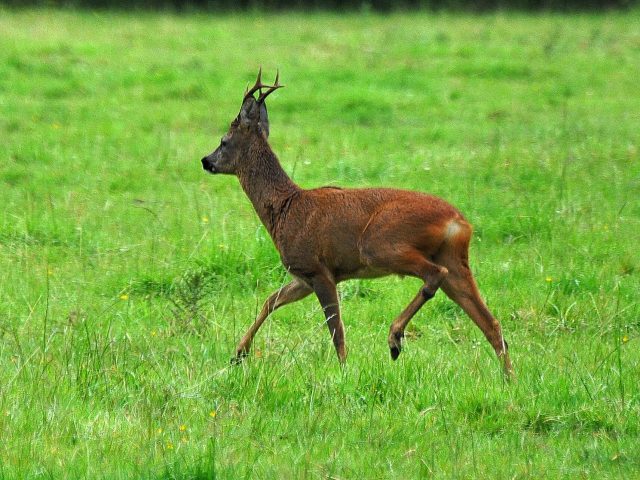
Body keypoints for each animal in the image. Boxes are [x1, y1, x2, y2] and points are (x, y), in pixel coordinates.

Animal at [201, 69, 514, 379]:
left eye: (224, 141)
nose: (206, 160)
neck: (284, 209)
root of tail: (458, 221)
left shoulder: (317, 269)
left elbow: (336, 330)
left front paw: (343, 373)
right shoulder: (302, 277)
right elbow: (271, 300)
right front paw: (238, 354)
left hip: (381, 245)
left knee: (434, 276)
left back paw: (394, 338)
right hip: (453, 258)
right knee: (491, 322)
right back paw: (509, 378)